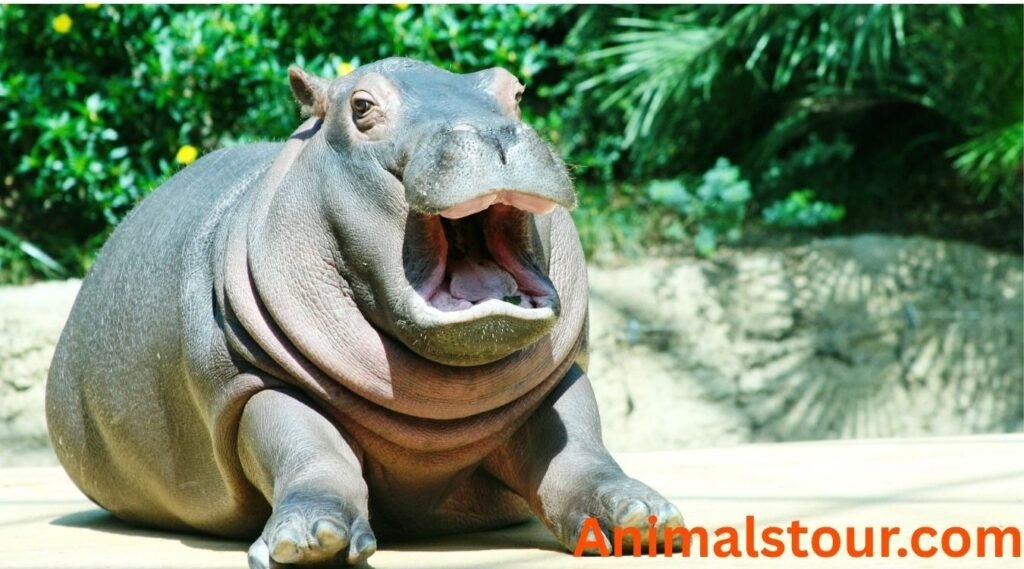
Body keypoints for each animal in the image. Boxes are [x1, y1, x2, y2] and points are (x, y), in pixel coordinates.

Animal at [45, 58, 683, 567]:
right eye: (361, 105)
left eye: (515, 92)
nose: (495, 134)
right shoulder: (252, 380)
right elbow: (312, 450)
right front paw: (309, 542)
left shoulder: (558, 378)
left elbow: (577, 449)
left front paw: (642, 516)